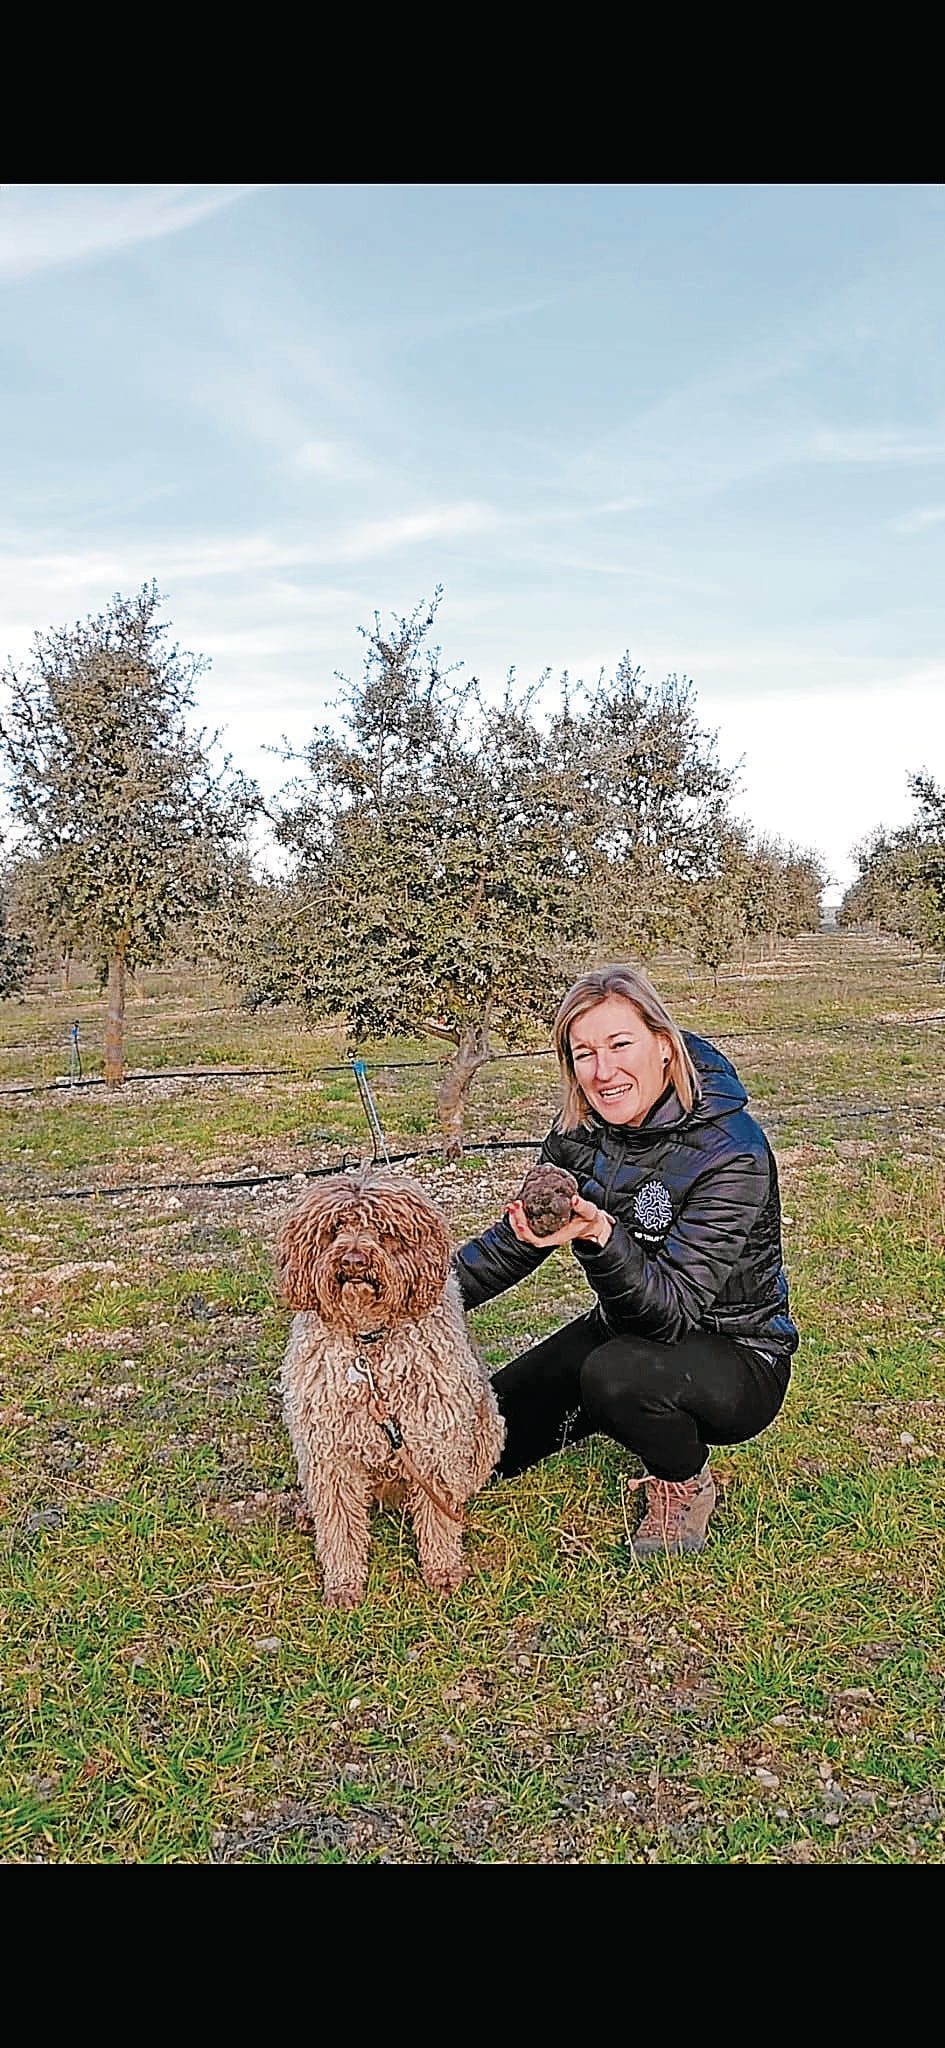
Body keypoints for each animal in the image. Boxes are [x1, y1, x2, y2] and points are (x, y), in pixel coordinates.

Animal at [274, 1179, 500, 1605]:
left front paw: (443, 1570)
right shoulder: (329, 1452)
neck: (369, 1342)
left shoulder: (433, 1442)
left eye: (383, 1231)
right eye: (335, 1229)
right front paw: (343, 1584)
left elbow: (438, 1516)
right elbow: (339, 1525)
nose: (353, 1261)